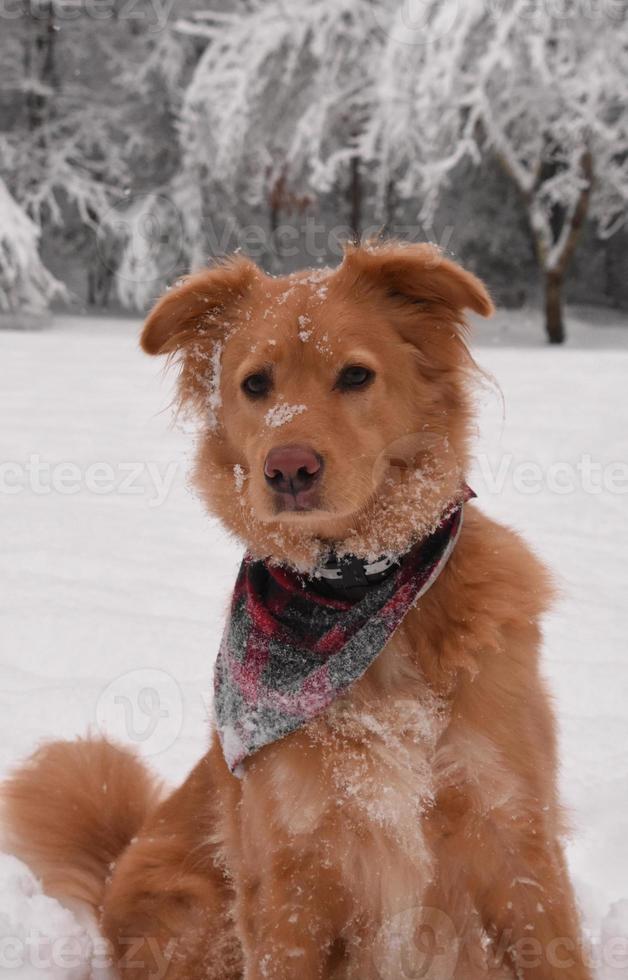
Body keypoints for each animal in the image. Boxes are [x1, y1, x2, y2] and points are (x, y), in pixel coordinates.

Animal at [2, 241, 592, 976]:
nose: (288, 468)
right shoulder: (288, 873)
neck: (351, 595)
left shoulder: (514, 831)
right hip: (201, 915)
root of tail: (113, 872)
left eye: (356, 375)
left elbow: (556, 951)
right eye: (257, 384)